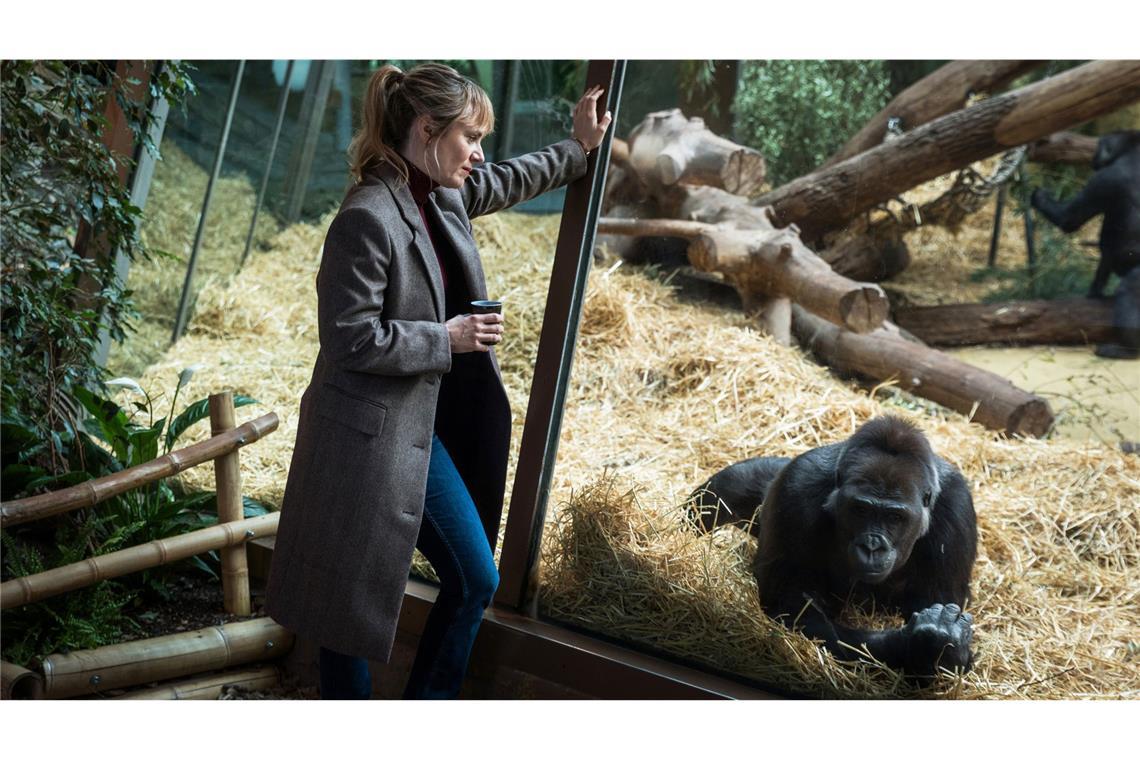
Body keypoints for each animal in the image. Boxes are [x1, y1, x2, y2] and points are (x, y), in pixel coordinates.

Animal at [688, 417, 975, 679]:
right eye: (860, 510)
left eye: (895, 517)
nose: (871, 547)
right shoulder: (797, 486)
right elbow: (797, 609)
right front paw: (917, 644)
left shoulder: (956, 509)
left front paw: (937, 646)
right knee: (728, 489)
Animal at [1035, 129, 1140, 357]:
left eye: (1099, 146)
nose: (1093, 157)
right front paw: (1095, 291)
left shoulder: (1105, 178)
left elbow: (1069, 219)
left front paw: (1038, 195)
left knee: (1129, 290)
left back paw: (1127, 349)